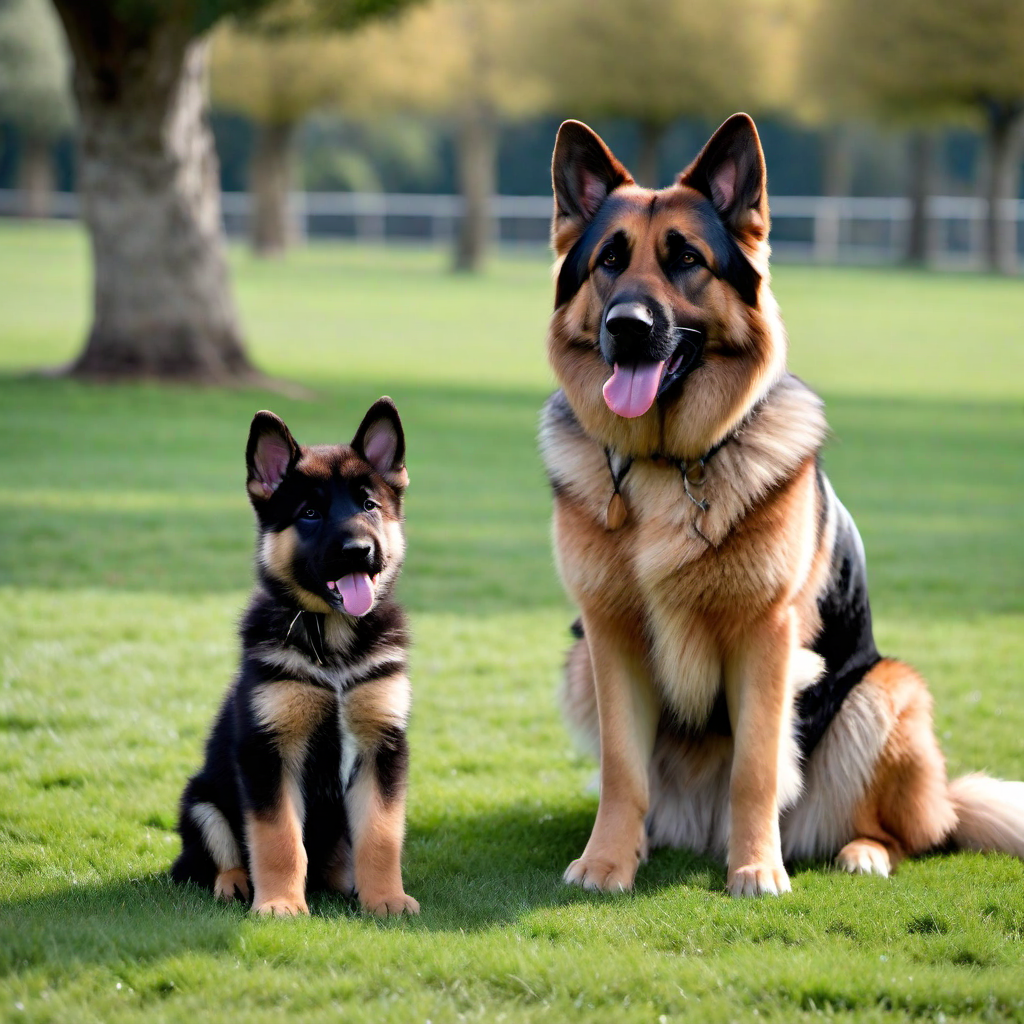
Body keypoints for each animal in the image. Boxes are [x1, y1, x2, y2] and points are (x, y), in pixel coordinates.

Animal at [169, 399, 417, 921]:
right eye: (309, 513)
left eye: (369, 506)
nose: (359, 551)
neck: (333, 643)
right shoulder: (268, 752)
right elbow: (277, 837)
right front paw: (280, 904)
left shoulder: (382, 747)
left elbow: (382, 835)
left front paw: (386, 899)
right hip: (201, 801)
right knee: (214, 857)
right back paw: (235, 883)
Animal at [540, 114, 1019, 897]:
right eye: (609, 261)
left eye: (686, 260)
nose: (626, 326)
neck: (671, 466)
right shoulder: (609, 638)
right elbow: (621, 771)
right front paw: (608, 861)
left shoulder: (765, 640)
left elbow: (757, 767)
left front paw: (757, 868)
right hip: (579, 663)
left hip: (885, 693)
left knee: (909, 832)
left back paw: (860, 851)